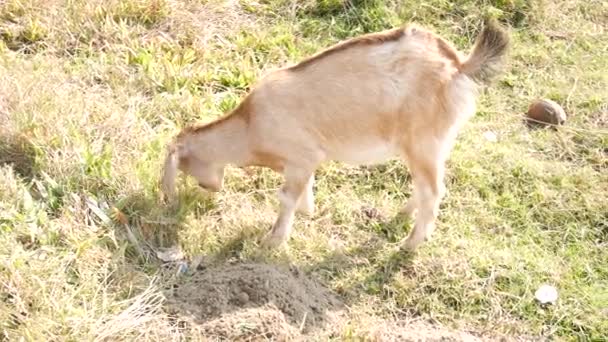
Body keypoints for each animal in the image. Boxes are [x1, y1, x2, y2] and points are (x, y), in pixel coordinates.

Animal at [158, 20, 508, 250]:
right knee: (425, 187)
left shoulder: (301, 157)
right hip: (435, 145)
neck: (249, 126)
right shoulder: (304, 164)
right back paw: (404, 214)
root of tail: (458, 66)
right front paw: (307, 212)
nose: (209, 187)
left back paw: (411, 244)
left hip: (424, 143)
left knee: (433, 192)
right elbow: (303, 192)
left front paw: (273, 239)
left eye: (183, 166)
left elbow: (285, 198)